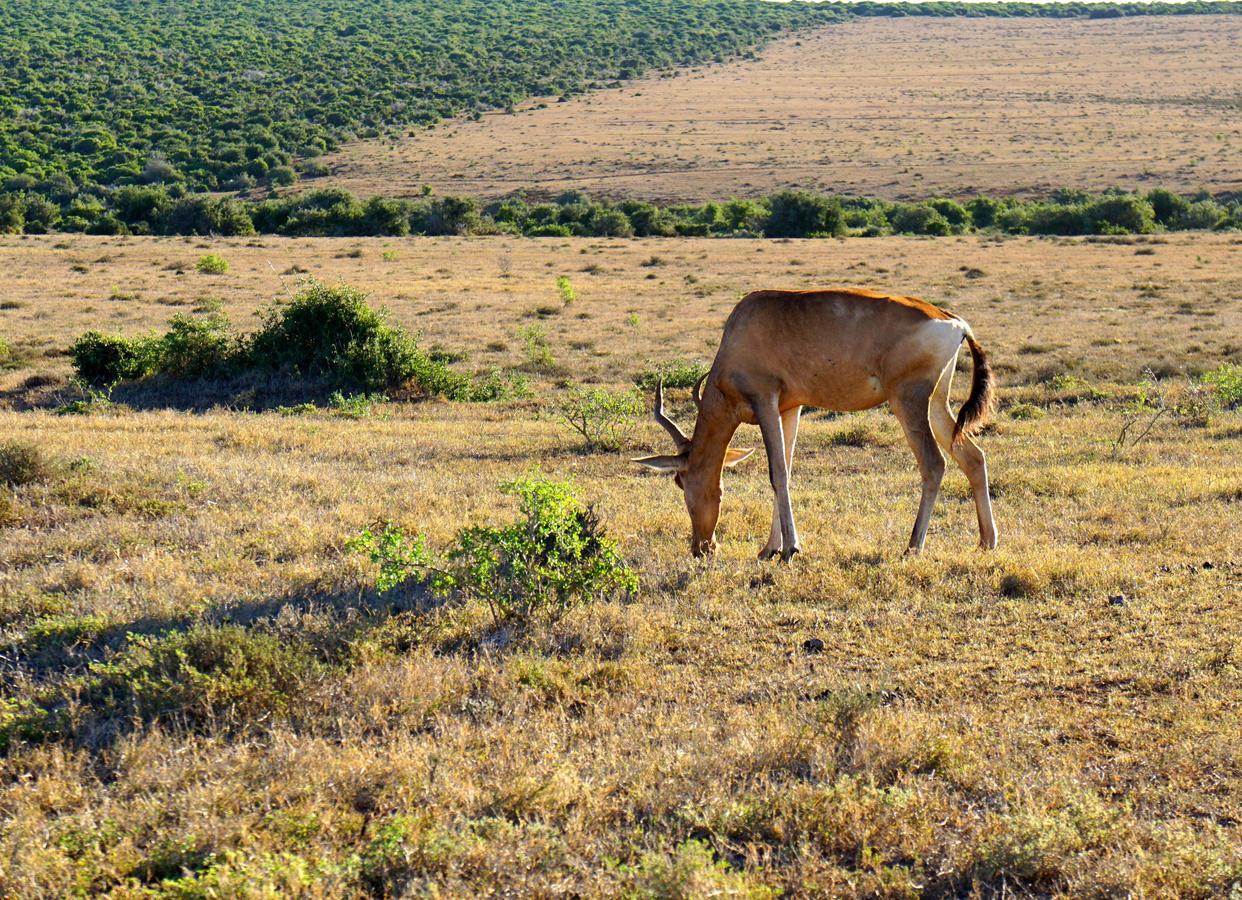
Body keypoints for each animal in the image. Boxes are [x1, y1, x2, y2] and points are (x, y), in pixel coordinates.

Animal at [635, 288, 993, 558]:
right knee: (973, 457)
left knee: (934, 464)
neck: (743, 328)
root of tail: (955, 323)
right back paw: (987, 542)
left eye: (681, 482)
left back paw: (912, 547)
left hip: (908, 400)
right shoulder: (789, 408)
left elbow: (777, 474)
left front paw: (790, 550)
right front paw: (769, 549)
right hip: (936, 403)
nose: (703, 548)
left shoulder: (764, 401)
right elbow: (787, 469)